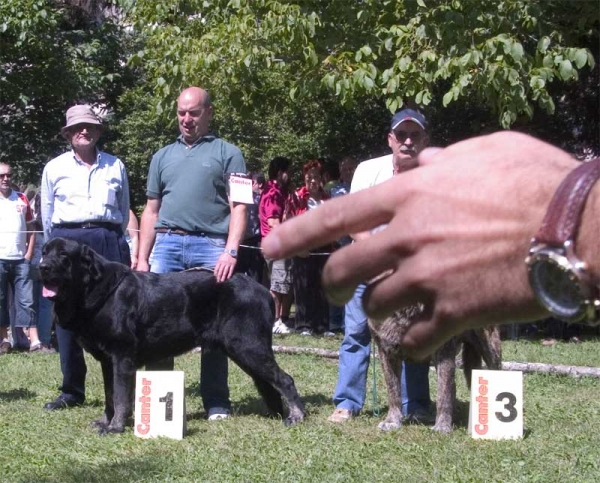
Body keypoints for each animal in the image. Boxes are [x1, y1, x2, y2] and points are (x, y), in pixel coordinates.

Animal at [39, 238, 304, 434]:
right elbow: (110, 395)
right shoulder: (107, 360)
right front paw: (106, 421)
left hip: (247, 346)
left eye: (64, 255)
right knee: (267, 382)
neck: (93, 289)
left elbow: (121, 395)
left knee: (285, 379)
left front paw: (115, 427)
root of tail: (263, 290)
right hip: (244, 350)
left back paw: (296, 416)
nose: (41, 267)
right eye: (44, 252)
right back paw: (276, 413)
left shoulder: (122, 357)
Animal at [370, 304, 502, 432]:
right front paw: (392, 421)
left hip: (490, 347)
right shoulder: (386, 349)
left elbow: (443, 393)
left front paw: (442, 426)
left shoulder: (444, 349)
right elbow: (393, 392)